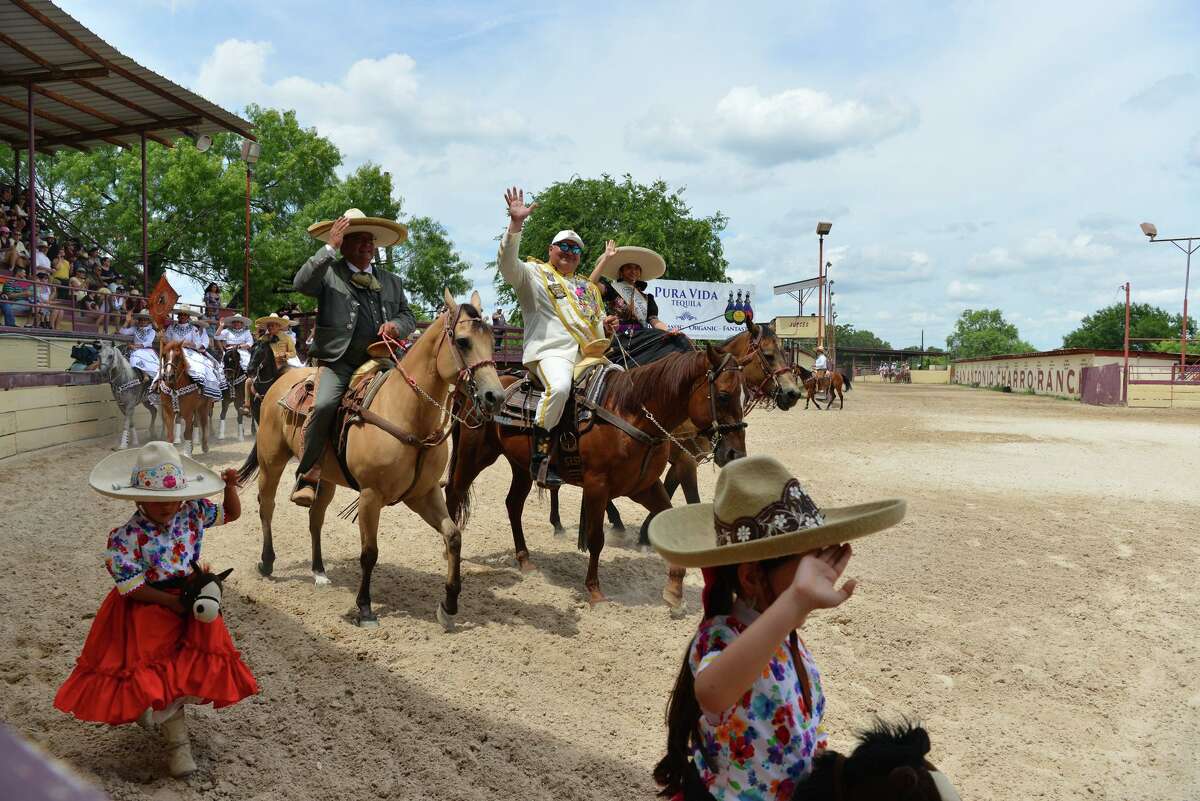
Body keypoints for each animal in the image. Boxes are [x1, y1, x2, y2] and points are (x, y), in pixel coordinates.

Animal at [236, 291, 504, 628]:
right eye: (464, 341)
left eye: (492, 342)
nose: (496, 396)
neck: (408, 414)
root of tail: (278, 385)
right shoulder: (370, 495)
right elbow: (369, 552)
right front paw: (364, 608)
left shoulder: (423, 494)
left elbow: (453, 536)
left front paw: (449, 604)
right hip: (271, 460)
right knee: (267, 506)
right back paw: (267, 562)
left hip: (325, 478)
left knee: (315, 518)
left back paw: (319, 571)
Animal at [448, 340, 748, 609]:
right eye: (723, 395)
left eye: (743, 395)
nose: (735, 454)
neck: (630, 414)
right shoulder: (597, 487)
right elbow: (595, 539)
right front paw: (595, 593)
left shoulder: (645, 487)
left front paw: (674, 592)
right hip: (474, 456)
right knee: (454, 493)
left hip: (521, 467)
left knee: (513, 505)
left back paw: (525, 560)